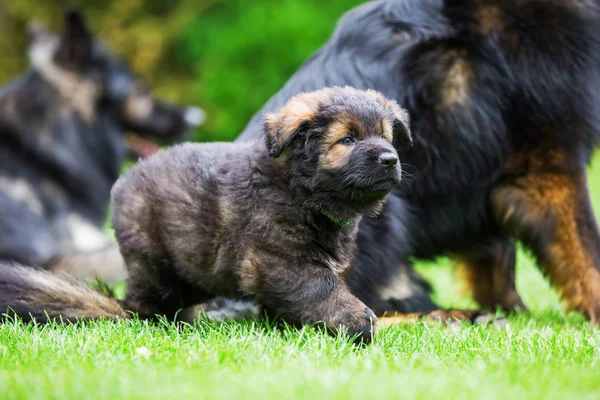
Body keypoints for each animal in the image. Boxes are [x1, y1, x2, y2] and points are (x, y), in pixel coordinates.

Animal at [0, 86, 412, 342]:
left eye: (385, 136)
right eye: (348, 139)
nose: (390, 159)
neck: (301, 190)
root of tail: (126, 178)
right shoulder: (277, 258)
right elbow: (320, 287)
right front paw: (356, 320)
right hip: (152, 261)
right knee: (147, 305)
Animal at [236, 0, 600, 324]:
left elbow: (497, 257)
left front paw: (512, 311)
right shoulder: (549, 168)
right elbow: (588, 255)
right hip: (385, 212)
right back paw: (446, 318)